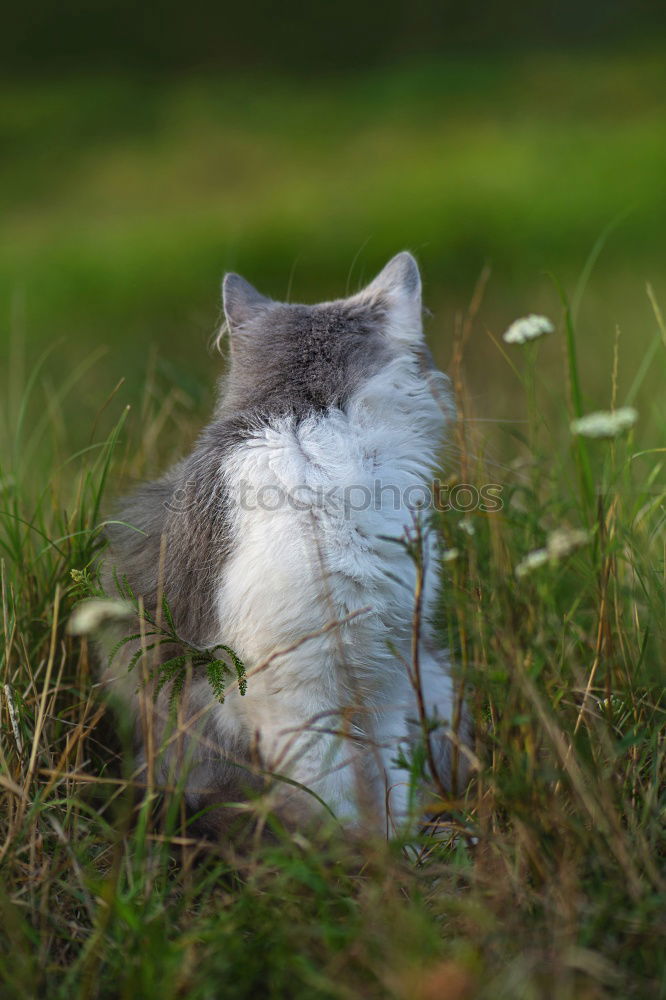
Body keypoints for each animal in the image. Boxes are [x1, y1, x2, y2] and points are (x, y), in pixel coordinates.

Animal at [100, 250, 472, 836]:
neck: (311, 426)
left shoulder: (386, 671)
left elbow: (391, 782)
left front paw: (398, 847)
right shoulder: (295, 686)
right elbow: (334, 797)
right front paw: (359, 856)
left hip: (430, 678)